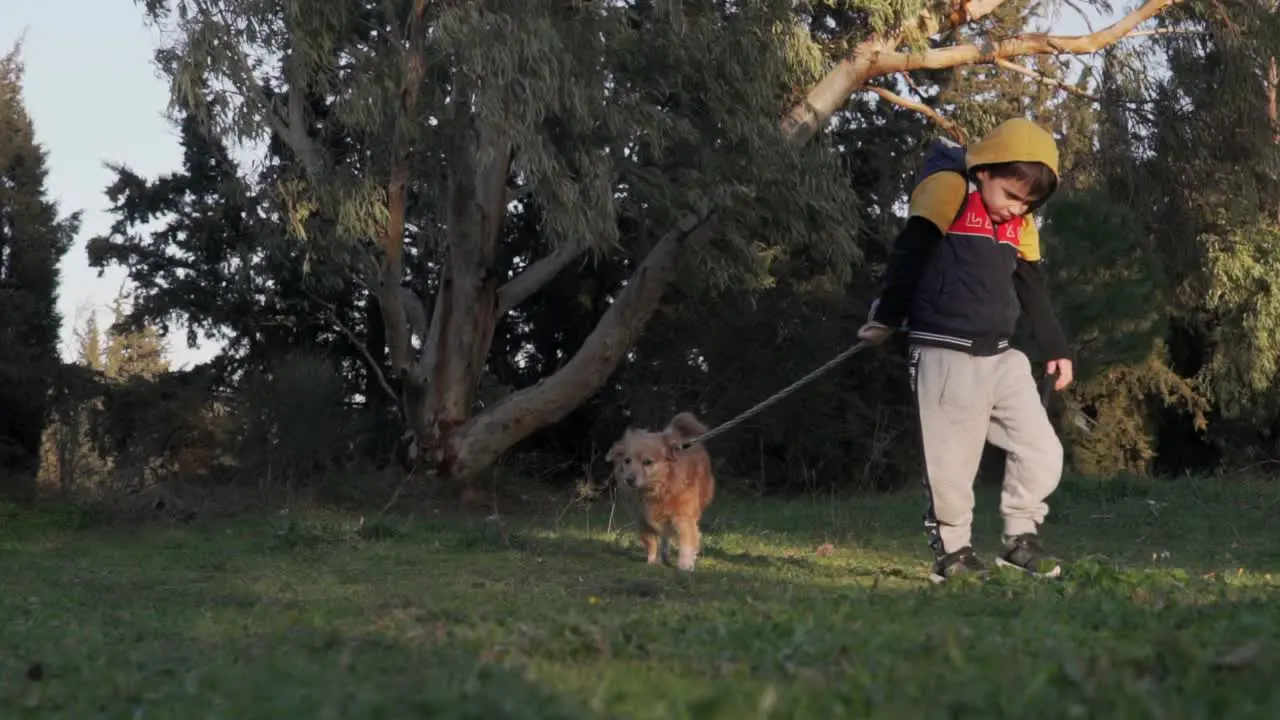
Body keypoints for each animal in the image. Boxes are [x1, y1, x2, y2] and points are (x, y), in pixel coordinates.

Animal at [604, 412, 716, 568]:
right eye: (627, 460)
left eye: (648, 462)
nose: (629, 479)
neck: (657, 489)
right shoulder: (643, 520)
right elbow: (651, 542)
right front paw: (651, 561)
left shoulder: (684, 518)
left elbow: (687, 541)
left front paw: (685, 565)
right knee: (665, 536)